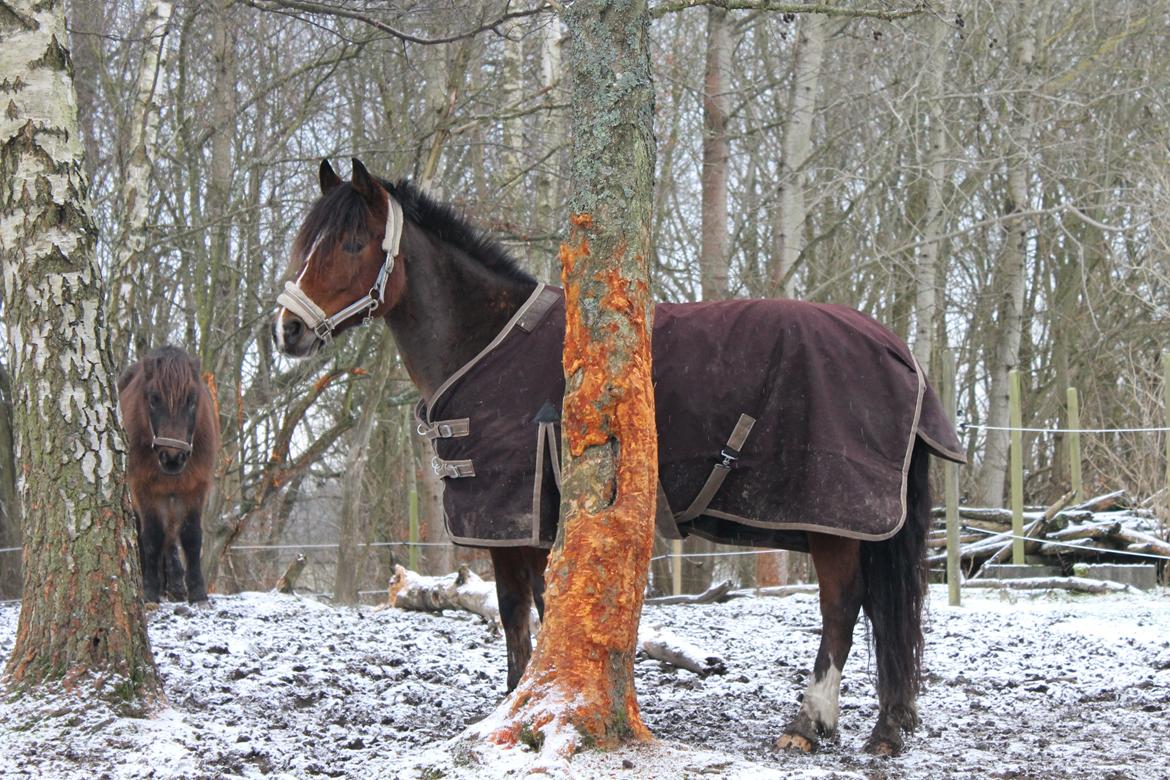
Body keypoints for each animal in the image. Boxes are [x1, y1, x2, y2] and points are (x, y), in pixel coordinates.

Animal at [118, 346, 219, 603]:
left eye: (192, 400)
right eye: (153, 399)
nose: (172, 457)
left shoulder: (196, 488)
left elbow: (191, 537)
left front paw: (197, 592)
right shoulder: (143, 489)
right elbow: (152, 537)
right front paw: (150, 590)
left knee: (171, 537)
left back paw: (174, 585)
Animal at [269, 160, 964, 757]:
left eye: (352, 245)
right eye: (307, 241)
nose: (287, 330)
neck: (486, 344)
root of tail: (900, 353)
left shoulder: (515, 523)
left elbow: (523, 616)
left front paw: (519, 706)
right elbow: (537, 615)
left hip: (835, 521)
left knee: (843, 608)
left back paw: (807, 724)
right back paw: (881, 725)